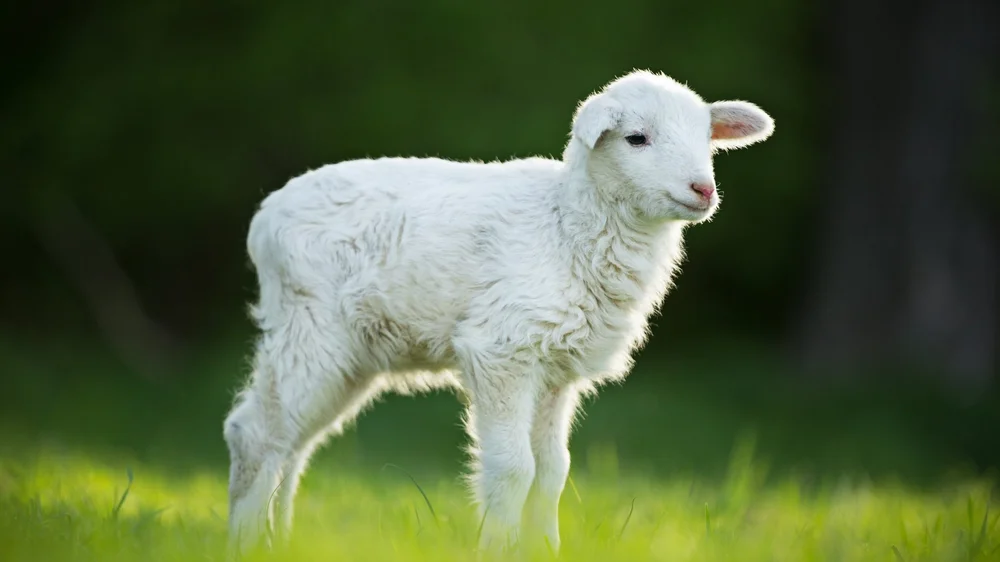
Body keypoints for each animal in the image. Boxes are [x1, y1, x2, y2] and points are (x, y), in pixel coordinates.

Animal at [223, 69, 775, 557]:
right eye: (637, 138)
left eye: (707, 137)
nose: (703, 189)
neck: (566, 224)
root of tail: (264, 218)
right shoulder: (501, 350)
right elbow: (514, 468)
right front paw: (498, 547)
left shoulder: (556, 370)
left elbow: (552, 471)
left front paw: (545, 548)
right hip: (310, 327)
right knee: (255, 436)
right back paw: (246, 544)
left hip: (351, 354)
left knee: (292, 445)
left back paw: (281, 541)